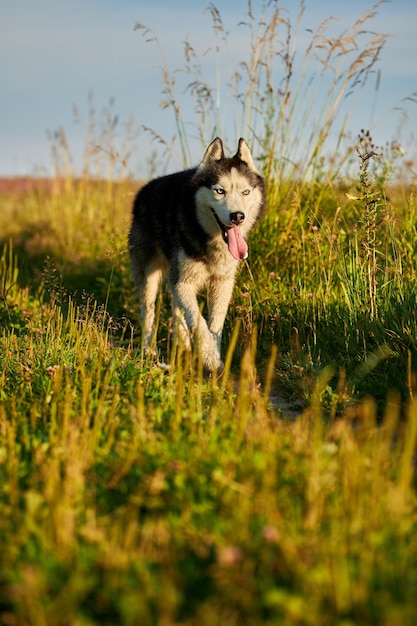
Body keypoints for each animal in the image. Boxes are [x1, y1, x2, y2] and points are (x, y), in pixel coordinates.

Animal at [128, 136, 264, 370]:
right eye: (220, 191)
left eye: (245, 192)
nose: (238, 216)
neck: (211, 241)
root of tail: (143, 191)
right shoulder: (182, 282)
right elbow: (199, 322)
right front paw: (209, 357)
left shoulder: (222, 283)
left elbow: (214, 325)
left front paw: (214, 355)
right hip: (149, 275)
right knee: (148, 309)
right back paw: (148, 350)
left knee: (176, 307)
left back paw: (182, 342)